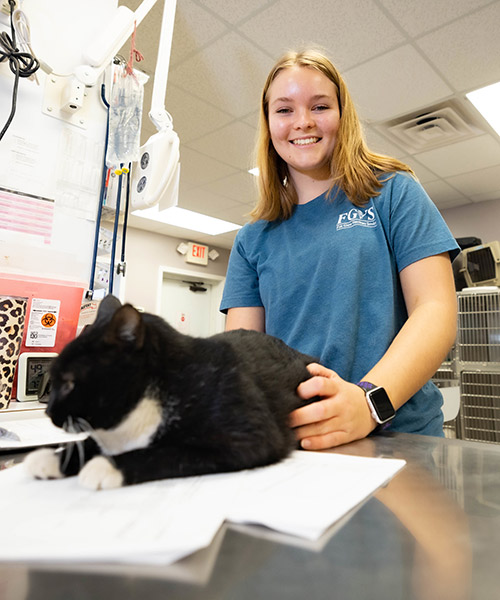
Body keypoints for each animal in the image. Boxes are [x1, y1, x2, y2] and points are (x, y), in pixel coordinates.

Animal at [24, 294, 320, 488]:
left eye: (69, 383)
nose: (48, 411)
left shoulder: (250, 438)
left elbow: (166, 453)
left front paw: (105, 466)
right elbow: (90, 442)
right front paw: (53, 458)